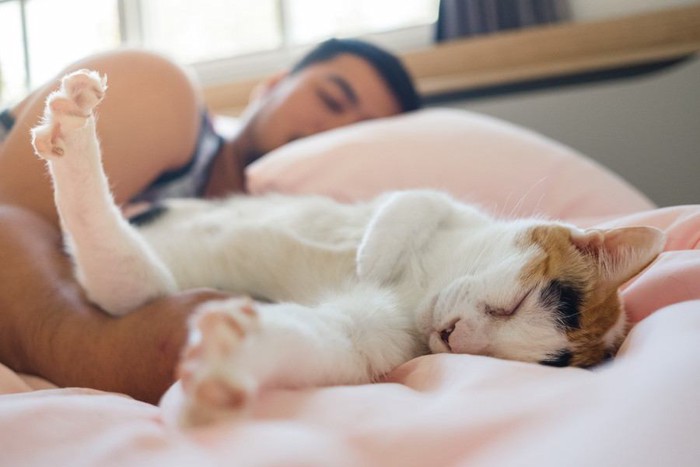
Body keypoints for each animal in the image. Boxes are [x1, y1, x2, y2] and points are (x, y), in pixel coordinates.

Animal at [30, 70, 664, 428]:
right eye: (519, 302)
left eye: (497, 361)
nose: (453, 336)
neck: (422, 285)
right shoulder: (438, 206)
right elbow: (412, 202)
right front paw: (374, 254)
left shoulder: (363, 341)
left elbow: (312, 341)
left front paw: (223, 368)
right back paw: (71, 121)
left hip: (139, 287)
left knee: (114, 261)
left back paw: (71, 136)